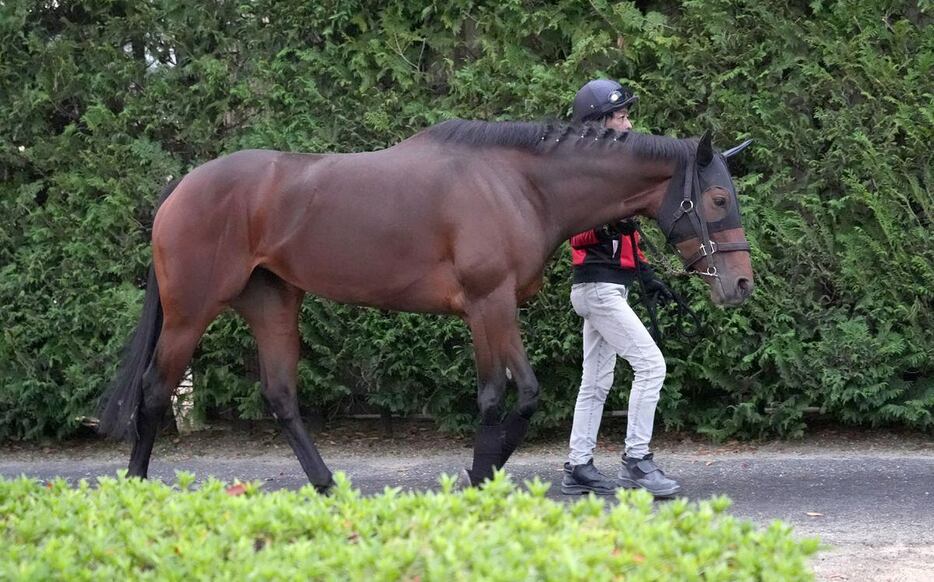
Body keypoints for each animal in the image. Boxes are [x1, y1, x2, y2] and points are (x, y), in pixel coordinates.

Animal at [98, 121, 756, 490]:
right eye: (718, 199)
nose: (742, 285)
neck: (518, 184)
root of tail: (183, 186)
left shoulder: (494, 310)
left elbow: (514, 394)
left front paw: (480, 472)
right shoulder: (489, 305)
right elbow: (507, 395)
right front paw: (478, 476)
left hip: (273, 302)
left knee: (280, 395)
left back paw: (327, 486)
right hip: (191, 310)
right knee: (155, 391)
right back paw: (135, 489)